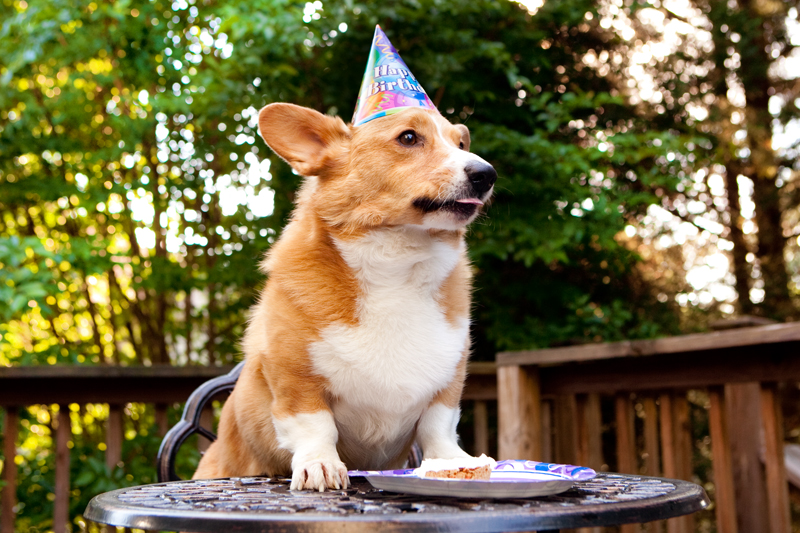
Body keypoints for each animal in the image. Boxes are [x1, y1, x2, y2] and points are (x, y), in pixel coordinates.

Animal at [194, 103, 494, 490]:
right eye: (408, 137)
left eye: (460, 142)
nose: (487, 174)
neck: (396, 267)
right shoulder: (296, 381)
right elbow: (316, 427)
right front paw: (319, 465)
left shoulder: (448, 382)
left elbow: (438, 427)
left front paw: (452, 463)